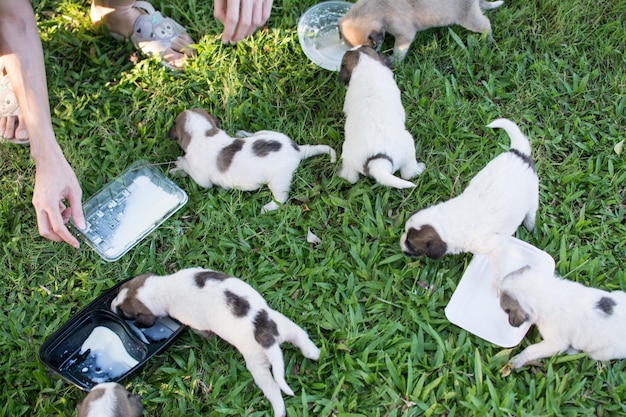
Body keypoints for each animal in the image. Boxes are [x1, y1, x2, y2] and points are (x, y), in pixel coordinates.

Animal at [109, 266, 320, 416]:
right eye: (118, 292)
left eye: (124, 313)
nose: (111, 306)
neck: (162, 288)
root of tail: (264, 331)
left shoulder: (191, 320)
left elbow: (200, 330)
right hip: (287, 326)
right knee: (303, 340)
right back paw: (315, 354)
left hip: (257, 363)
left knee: (273, 388)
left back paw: (279, 411)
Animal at [168, 108, 334, 211]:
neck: (204, 133)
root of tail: (297, 149)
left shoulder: (202, 180)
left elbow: (188, 168)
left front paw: (180, 163)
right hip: (266, 132)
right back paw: (243, 133)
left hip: (278, 181)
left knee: (281, 198)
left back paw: (268, 208)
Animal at [336, 0, 502, 62]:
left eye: (372, 46)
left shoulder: (405, 35)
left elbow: (398, 51)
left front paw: (393, 60)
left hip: (468, 19)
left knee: (486, 23)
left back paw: (488, 40)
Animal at [336, 45, 424, 187]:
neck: (365, 65)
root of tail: (378, 162)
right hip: (409, 145)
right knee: (408, 173)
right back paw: (419, 169)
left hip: (348, 156)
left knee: (352, 178)